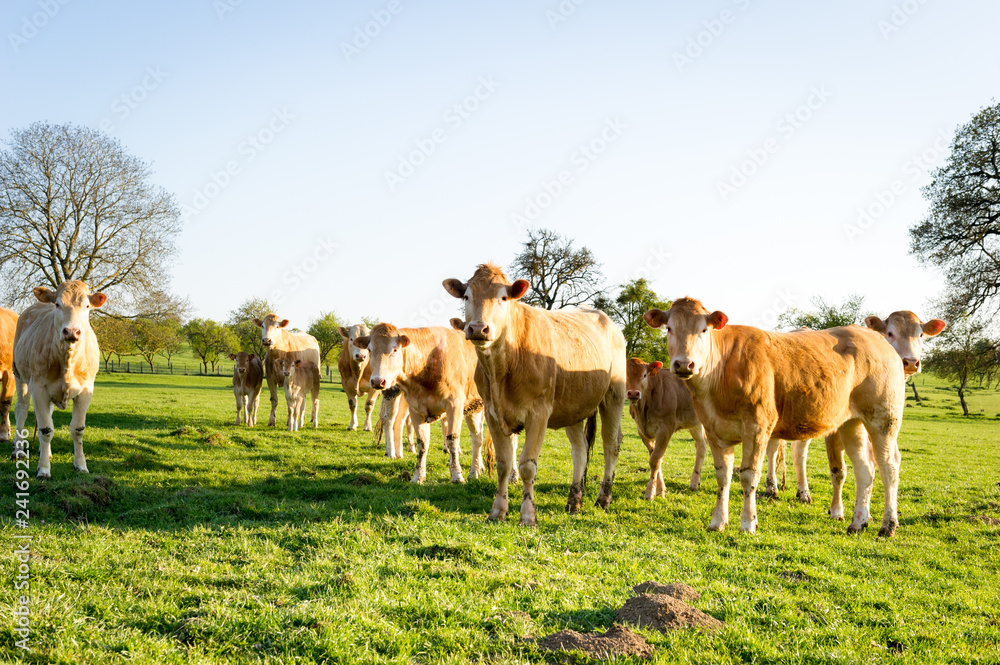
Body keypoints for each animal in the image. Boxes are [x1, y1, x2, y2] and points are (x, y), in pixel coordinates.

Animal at [11, 280, 107, 478]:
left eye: (87, 306)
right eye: (57, 304)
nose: (71, 331)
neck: (68, 359)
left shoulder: (86, 391)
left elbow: (77, 429)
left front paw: (81, 465)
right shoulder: (38, 388)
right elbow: (46, 430)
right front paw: (43, 469)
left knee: (47, 414)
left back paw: (45, 451)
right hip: (19, 374)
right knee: (22, 409)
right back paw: (18, 450)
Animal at [356, 322, 492, 482]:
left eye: (395, 349)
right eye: (370, 349)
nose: (378, 381)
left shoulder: (454, 406)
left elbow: (452, 439)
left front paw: (457, 476)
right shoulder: (416, 409)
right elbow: (422, 443)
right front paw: (418, 476)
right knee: (477, 437)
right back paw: (474, 471)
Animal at [446, 262, 624, 528]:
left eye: (503, 297)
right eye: (467, 296)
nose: (478, 328)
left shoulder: (538, 414)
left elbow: (527, 465)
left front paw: (528, 515)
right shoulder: (492, 413)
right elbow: (504, 465)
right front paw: (497, 511)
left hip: (614, 395)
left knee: (610, 445)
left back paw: (603, 499)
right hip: (573, 406)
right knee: (580, 450)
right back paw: (574, 500)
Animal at [624, 358, 712, 498]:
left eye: (644, 375)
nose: (633, 393)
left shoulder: (665, 428)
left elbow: (655, 460)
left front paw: (650, 492)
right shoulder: (642, 431)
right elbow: (655, 458)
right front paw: (660, 489)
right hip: (695, 422)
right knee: (702, 445)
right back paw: (694, 482)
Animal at [644, 298, 912, 536]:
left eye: (703, 329)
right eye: (669, 328)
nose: (683, 364)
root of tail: (875, 338)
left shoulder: (757, 427)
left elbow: (748, 475)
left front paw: (748, 523)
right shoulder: (713, 430)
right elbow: (723, 476)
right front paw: (717, 521)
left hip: (884, 419)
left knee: (888, 466)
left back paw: (888, 525)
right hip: (850, 423)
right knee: (864, 469)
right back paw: (858, 522)